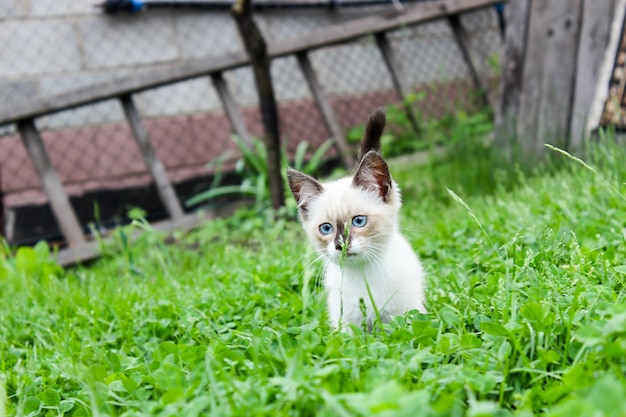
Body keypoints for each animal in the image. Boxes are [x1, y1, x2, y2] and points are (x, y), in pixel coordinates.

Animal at [286, 109, 424, 330]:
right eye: (326, 228)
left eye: (359, 221)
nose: (341, 245)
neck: (363, 275)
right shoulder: (345, 325)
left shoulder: (407, 311)